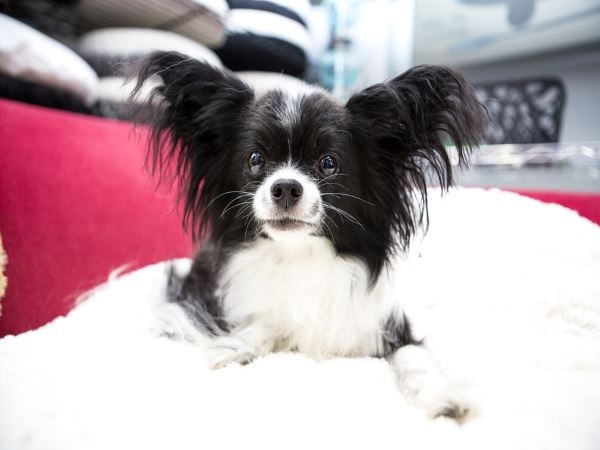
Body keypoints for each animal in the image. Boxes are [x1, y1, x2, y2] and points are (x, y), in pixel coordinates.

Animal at [134, 51, 488, 421]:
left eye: (328, 163)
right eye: (255, 159)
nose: (287, 186)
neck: (300, 254)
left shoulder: (392, 327)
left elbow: (413, 357)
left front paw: (441, 394)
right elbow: (266, 322)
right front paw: (236, 345)